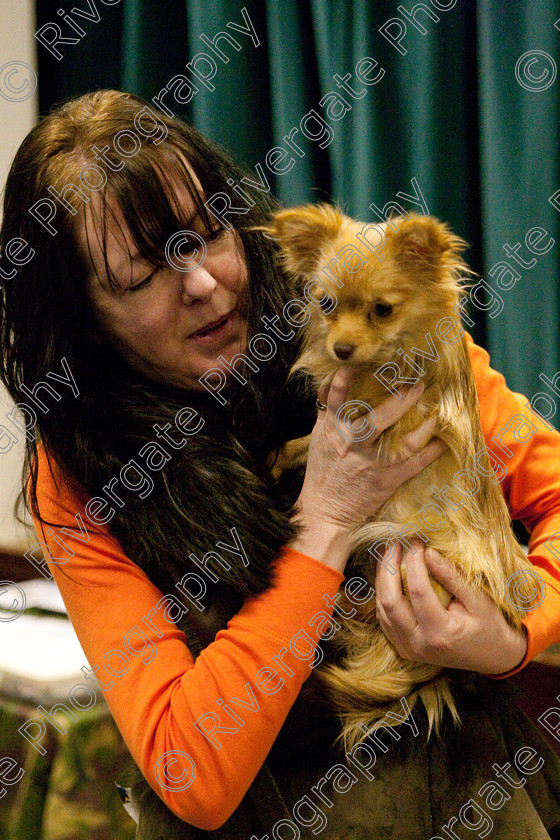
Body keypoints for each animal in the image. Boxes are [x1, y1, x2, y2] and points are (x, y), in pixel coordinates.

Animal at [264, 203, 536, 748]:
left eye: (383, 310)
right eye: (326, 304)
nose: (342, 348)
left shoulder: (412, 406)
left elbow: (364, 400)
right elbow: (310, 435)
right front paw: (285, 452)